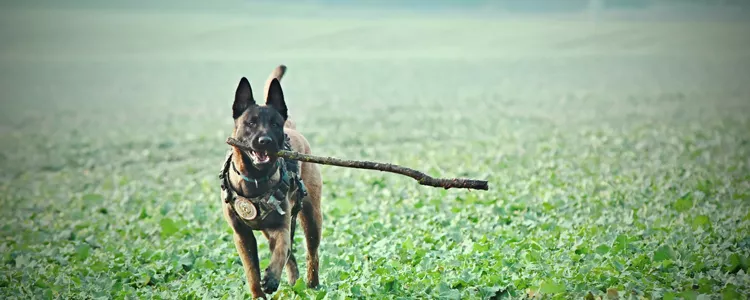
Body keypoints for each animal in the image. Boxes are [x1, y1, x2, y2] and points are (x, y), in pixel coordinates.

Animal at [217, 65, 324, 298]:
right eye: (250, 123)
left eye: (275, 124)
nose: (264, 141)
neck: (255, 179)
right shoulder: (242, 235)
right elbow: (251, 272)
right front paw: (259, 293)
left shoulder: (280, 226)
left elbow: (281, 249)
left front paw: (272, 277)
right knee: (291, 256)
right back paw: (294, 281)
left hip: (311, 217)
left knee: (311, 253)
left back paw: (312, 286)